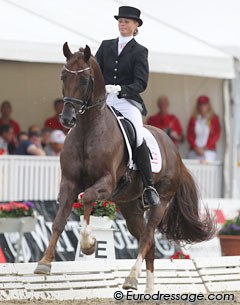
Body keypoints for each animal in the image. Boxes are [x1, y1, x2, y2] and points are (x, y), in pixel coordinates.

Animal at [34, 42, 216, 292]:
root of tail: (175, 152)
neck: (88, 129)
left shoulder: (107, 183)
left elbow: (88, 198)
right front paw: (44, 263)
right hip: (131, 207)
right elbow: (59, 221)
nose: (67, 119)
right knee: (147, 243)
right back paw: (147, 289)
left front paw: (89, 244)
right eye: (63, 76)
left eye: (85, 80)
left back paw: (131, 278)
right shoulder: (69, 183)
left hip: (161, 201)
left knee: (147, 238)